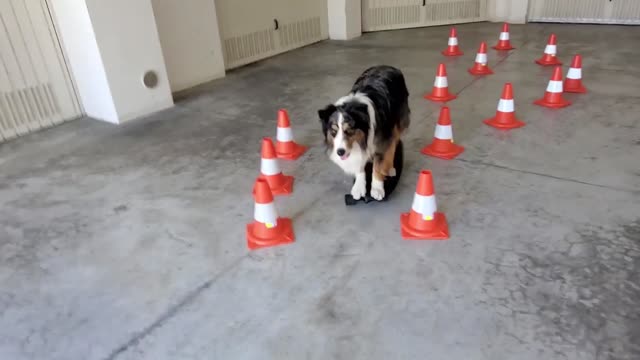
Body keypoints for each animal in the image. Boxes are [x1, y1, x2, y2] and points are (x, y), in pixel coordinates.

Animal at [318, 66, 410, 201]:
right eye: (333, 131)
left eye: (349, 130)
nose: (340, 152)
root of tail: (387, 66)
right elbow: (359, 163)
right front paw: (359, 186)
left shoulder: (381, 139)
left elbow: (378, 165)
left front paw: (377, 188)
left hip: (396, 121)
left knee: (393, 143)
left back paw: (390, 167)